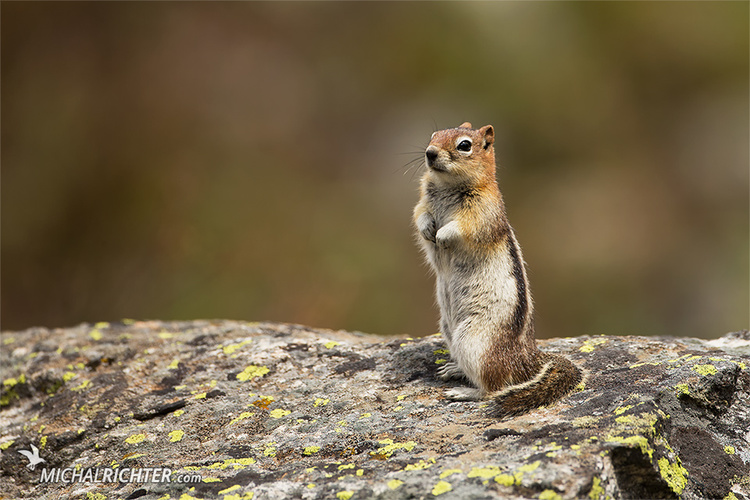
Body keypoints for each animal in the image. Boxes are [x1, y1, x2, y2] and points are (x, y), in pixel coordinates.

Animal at [414, 122, 584, 418]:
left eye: (464, 145)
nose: (430, 153)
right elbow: (419, 214)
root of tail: (527, 360)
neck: (448, 186)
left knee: (493, 388)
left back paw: (465, 391)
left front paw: (443, 235)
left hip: (474, 342)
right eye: (433, 136)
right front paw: (428, 229)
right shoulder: (423, 201)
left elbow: (464, 228)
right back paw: (454, 369)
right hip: (449, 331)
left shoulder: (484, 213)